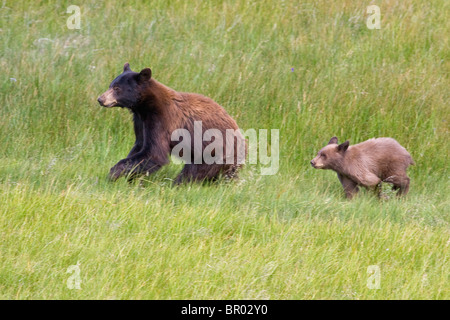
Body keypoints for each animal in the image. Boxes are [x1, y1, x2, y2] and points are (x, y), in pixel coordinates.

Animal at [97, 63, 246, 182]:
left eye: (117, 88)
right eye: (110, 85)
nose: (100, 99)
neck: (143, 106)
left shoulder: (161, 120)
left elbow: (154, 152)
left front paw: (114, 173)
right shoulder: (140, 121)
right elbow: (139, 145)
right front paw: (130, 177)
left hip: (214, 151)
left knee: (195, 171)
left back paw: (177, 183)